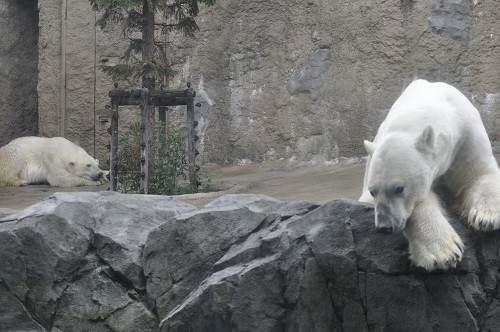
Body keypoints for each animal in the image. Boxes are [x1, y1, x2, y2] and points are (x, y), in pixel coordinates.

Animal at [360, 79, 500, 272]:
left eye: (399, 189)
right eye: (373, 191)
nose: (384, 227)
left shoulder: (467, 135)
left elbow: (479, 174)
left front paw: (486, 217)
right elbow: (420, 201)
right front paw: (444, 253)